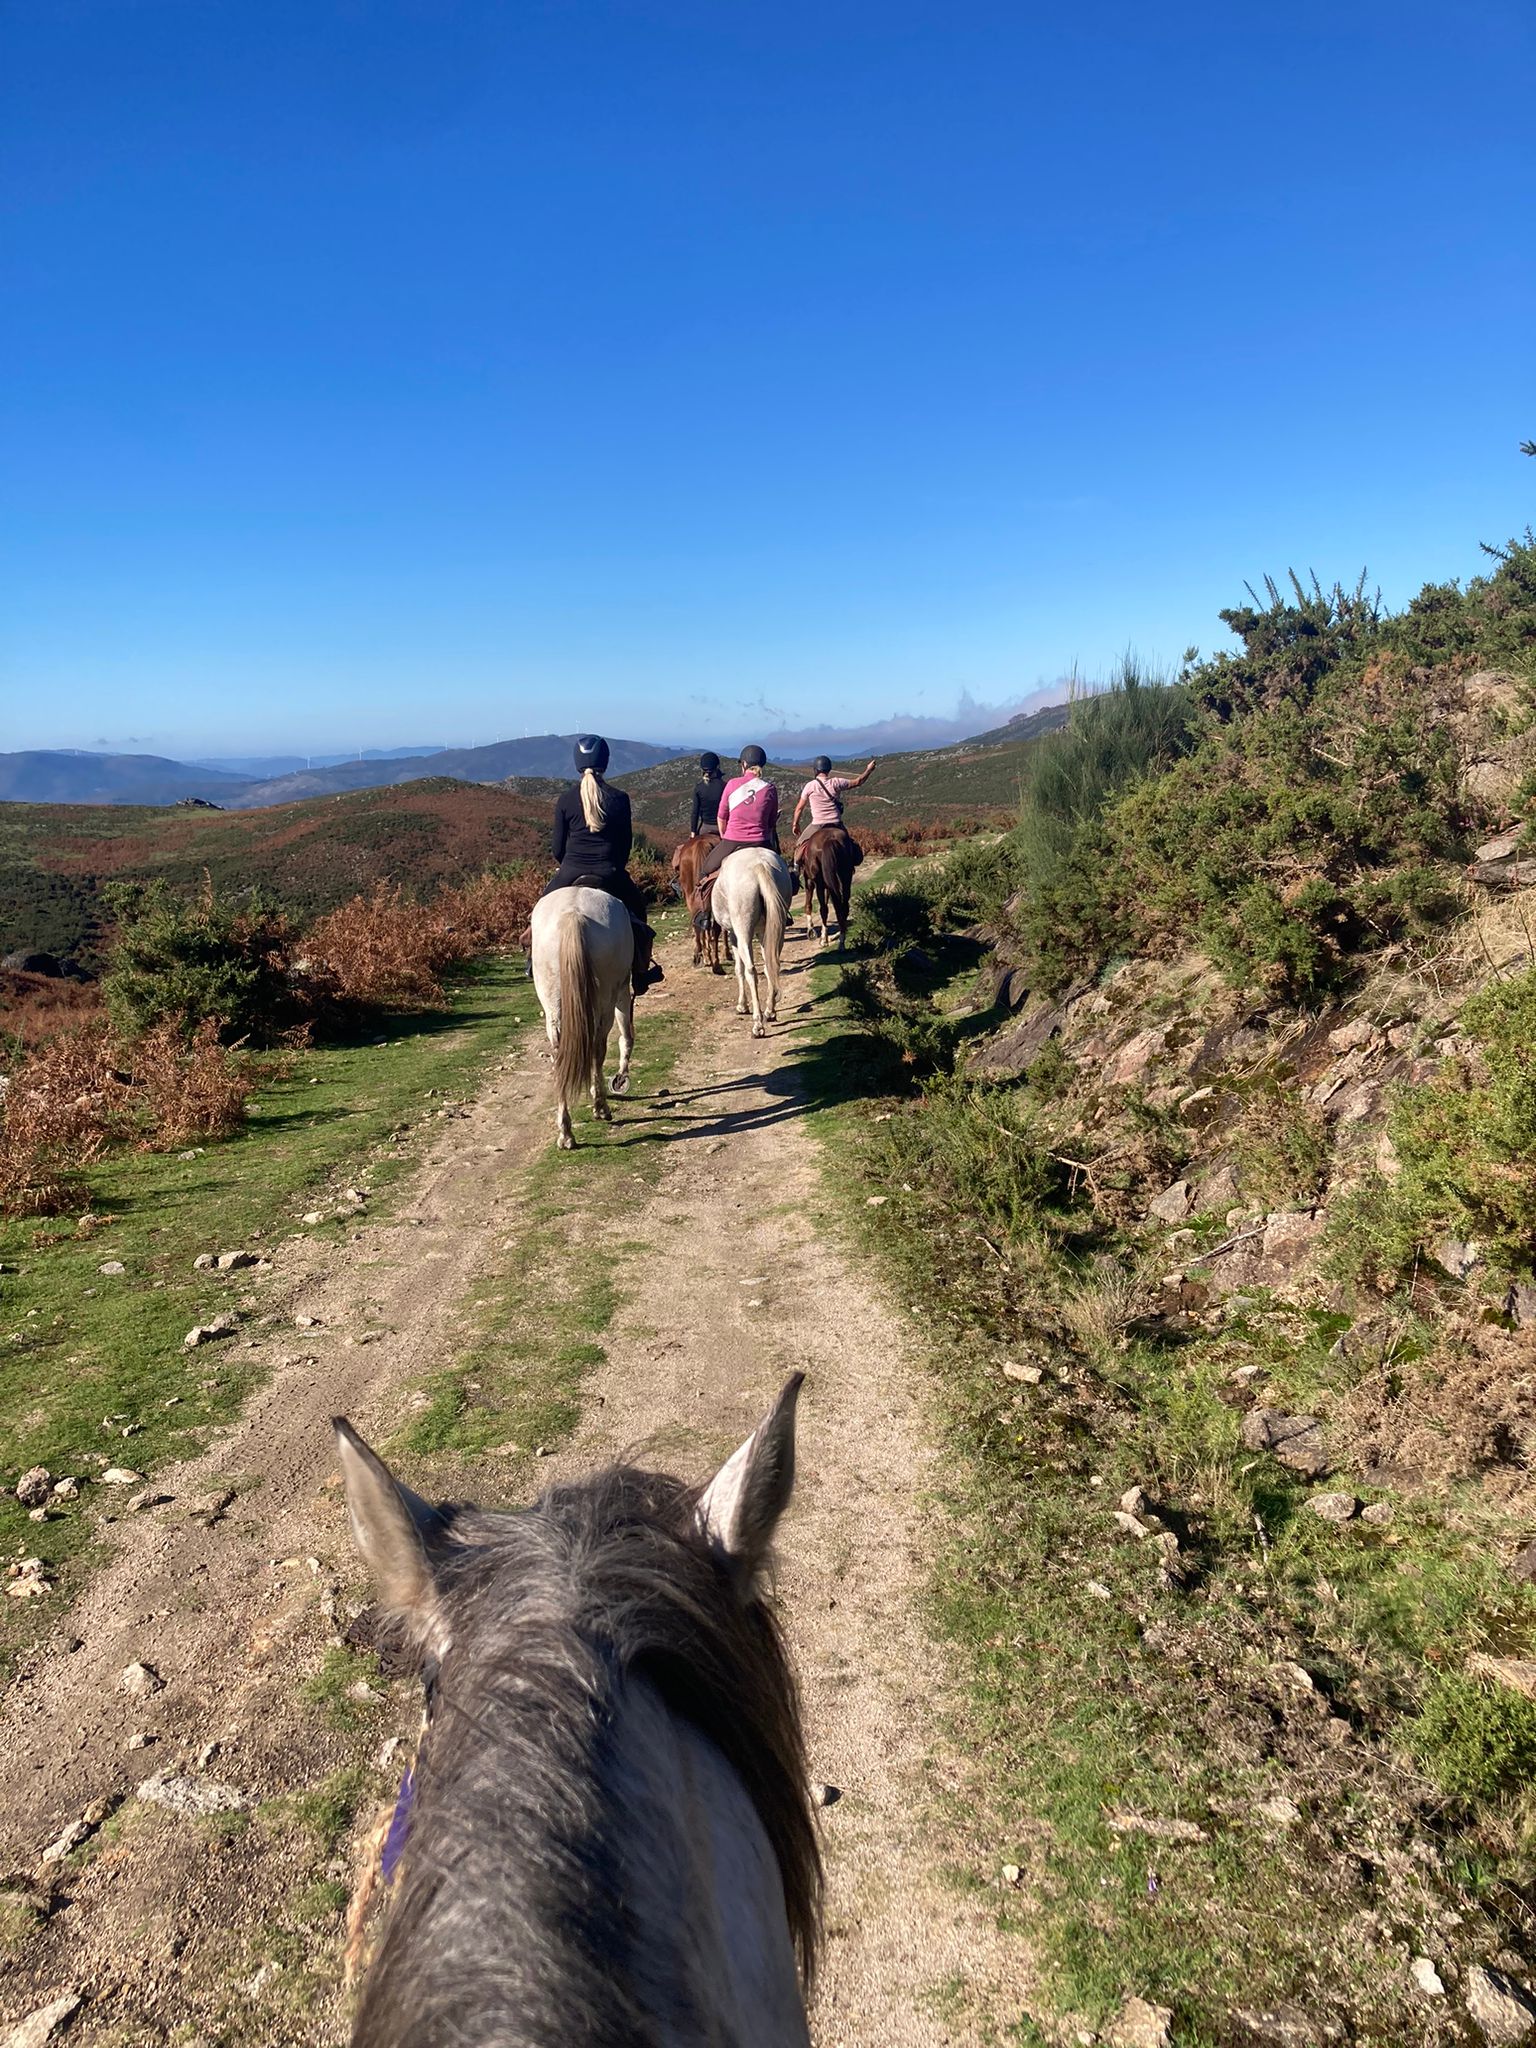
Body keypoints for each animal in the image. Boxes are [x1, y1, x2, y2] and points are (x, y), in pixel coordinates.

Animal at [529, 888, 634, 1150]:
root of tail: (573, 914)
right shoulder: (622, 987)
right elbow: (626, 1035)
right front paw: (620, 1077)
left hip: (552, 1002)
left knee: (559, 1054)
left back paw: (566, 1133)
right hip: (607, 997)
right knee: (598, 1046)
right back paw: (601, 1107)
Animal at [672, 831, 725, 972]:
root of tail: (703, 842)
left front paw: (707, 954)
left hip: (690, 893)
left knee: (697, 922)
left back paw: (699, 955)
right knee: (714, 927)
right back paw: (716, 963)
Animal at [711, 847, 790, 1037]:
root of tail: (759, 864)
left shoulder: (733, 935)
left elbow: (739, 969)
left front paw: (742, 1005)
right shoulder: (762, 932)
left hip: (743, 930)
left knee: (751, 971)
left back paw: (758, 1024)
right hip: (777, 929)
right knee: (771, 966)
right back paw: (769, 1011)